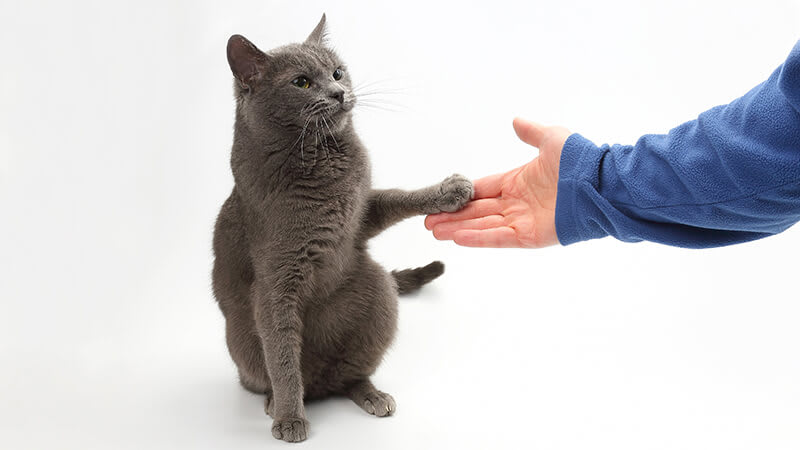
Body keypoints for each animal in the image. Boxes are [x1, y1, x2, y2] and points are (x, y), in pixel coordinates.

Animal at [212, 14, 476, 442]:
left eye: (337, 72)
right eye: (302, 82)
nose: (339, 93)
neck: (321, 158)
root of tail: (319, 386)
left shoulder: (360, 216)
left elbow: (395, 198)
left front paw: (450, 191)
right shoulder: (276, 280)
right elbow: (282, 354)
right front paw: (290, 418)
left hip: (377, 288)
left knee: (348, 375)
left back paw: (371, 394)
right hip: (241, 341)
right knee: (272, 372)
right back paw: (275, 402)